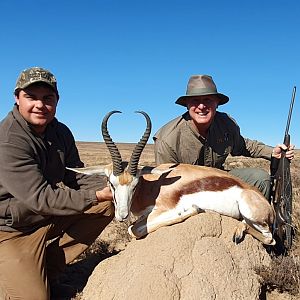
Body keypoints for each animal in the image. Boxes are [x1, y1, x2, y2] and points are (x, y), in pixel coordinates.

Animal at [69, 111, 276, 245]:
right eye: (111, 184)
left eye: (135, 185)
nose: (122, 215)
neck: (152, 188)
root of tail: (269, 207)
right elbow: (133, 227)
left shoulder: (165, 209)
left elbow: (132, 229)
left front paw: (190, 210)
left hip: (252, 214)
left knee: (269, 239)